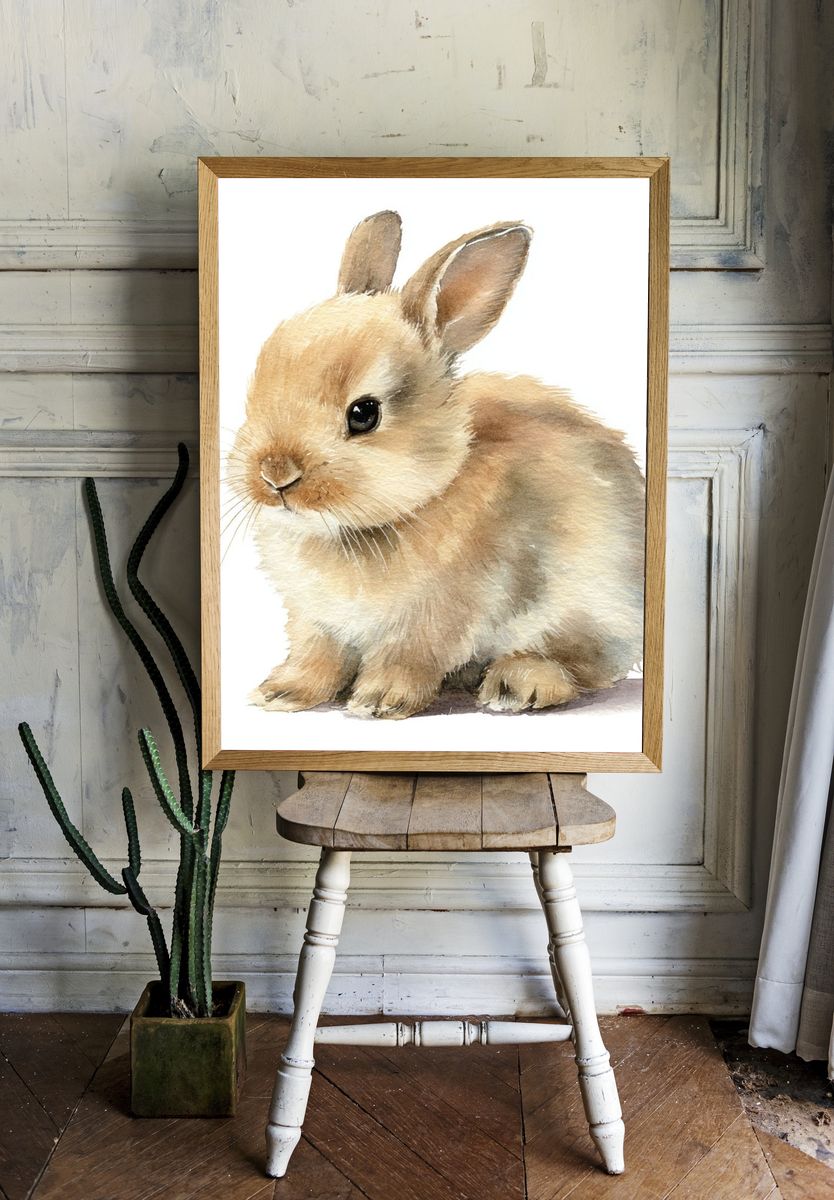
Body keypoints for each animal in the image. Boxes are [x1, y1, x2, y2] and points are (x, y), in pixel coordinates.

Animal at [227, 209, 645, 720]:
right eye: (259, 383)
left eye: (363, 414)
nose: (274, 474)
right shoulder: (315, 620)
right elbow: (316, 656)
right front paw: (282, 693)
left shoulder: (441, 614)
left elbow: (409, 656)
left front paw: (379, 701)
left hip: (594, 608)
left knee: (582, 666)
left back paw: (517, 684)